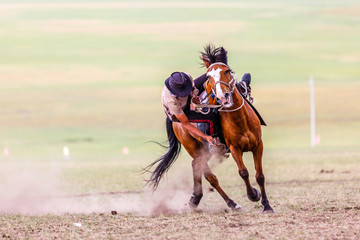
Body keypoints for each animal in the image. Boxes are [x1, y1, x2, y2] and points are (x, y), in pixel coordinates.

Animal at [146, 45, 272, 214]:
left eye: (227, 71)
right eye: (209, 76)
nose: (223, 97)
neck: (241, 120)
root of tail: (174, 120)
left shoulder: (258, 145)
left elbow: (260, 175)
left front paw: (266, 205)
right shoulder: (234, 149)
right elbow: (243, 172)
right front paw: (253, 195)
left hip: (206, 151)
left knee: (195, 166)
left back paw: (195, 199)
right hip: (194, 148)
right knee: (210, 176)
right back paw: (231, 203)